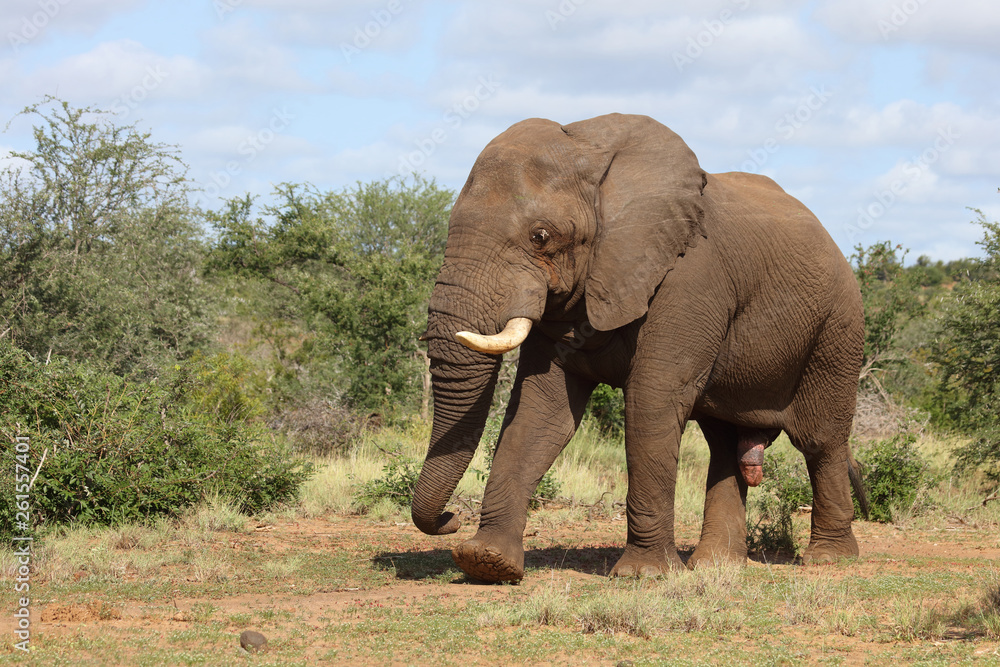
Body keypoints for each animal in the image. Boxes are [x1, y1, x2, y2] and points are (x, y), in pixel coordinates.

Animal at [410, 113, 867, 583]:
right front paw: (487, 562)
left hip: (837, 329)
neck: (594, 154)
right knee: (724, 443)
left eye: (540, 236)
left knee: (820, 439)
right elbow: (540, 412)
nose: (449, 519)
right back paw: (715, 565)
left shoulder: (689, 278)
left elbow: (651, 402)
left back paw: (829, 559)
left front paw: (644, 575)